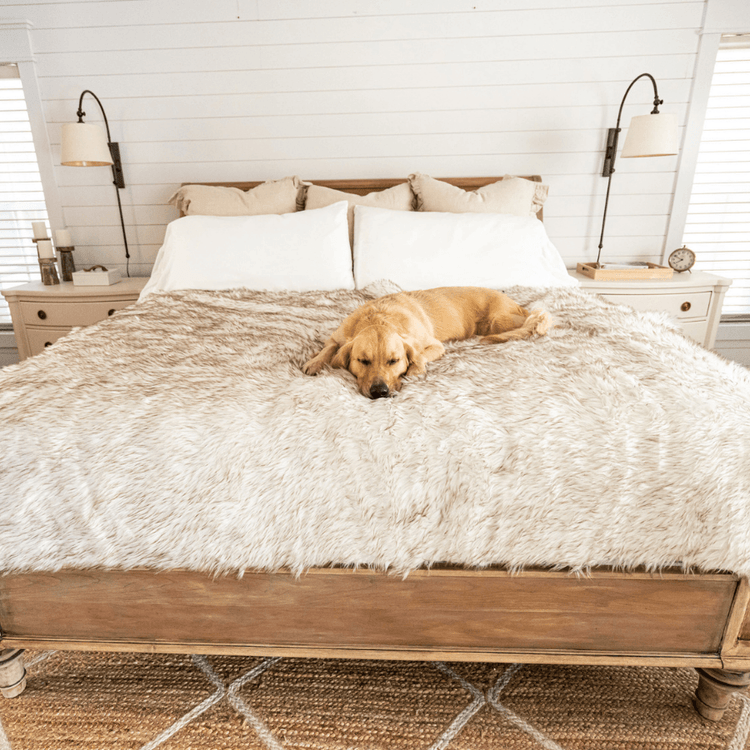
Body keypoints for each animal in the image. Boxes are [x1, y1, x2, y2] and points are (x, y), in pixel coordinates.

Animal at [302, 286, 556, 400]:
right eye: (362, 361)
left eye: (394, 361)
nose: (380, 392)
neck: (378, 316)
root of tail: (515, 303)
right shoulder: (338, 337)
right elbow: (329, 347)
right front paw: (314, 362)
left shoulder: (435, 345)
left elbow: (420, 355)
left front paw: (415, 369)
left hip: (498, 321)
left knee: (539, 318)